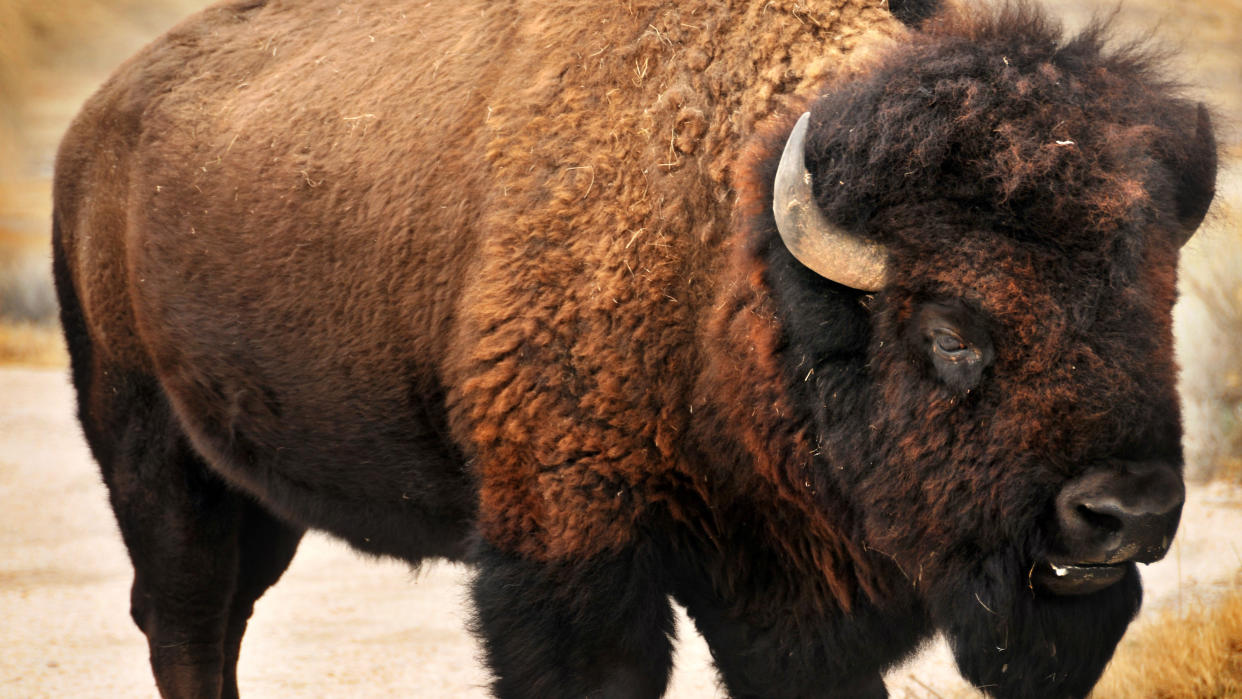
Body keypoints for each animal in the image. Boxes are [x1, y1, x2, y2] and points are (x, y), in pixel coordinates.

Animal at [50, 0, 1212, 695]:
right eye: (950, 331)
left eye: (1153, 303)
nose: (1124, 511)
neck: (732, 252)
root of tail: (97, 125)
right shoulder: (568, 548)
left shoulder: (787, 591)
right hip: (147, 450)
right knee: (186, 615)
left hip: (254, 492)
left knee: (220, 613)